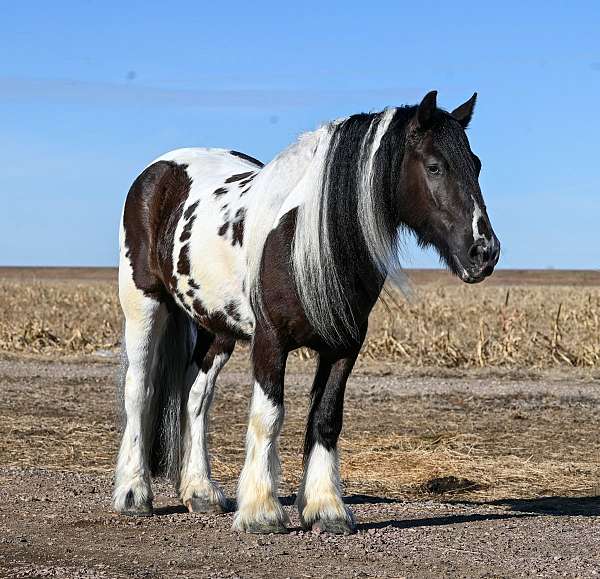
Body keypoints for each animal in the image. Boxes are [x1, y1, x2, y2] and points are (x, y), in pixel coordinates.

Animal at [115, 89, 500, 536]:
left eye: (477, 164)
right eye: (435, 166)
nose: (485, 252)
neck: (307, 237)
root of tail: (159, 170)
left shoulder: (343, 347)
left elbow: (326, 419)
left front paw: (326, 509)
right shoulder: (269, 341)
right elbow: (268, 416)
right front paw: (261, 512)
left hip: (217, 327)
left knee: (196, 396)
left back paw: (201, 492)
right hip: (144, 305)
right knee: (139, 390)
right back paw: (133, 494)